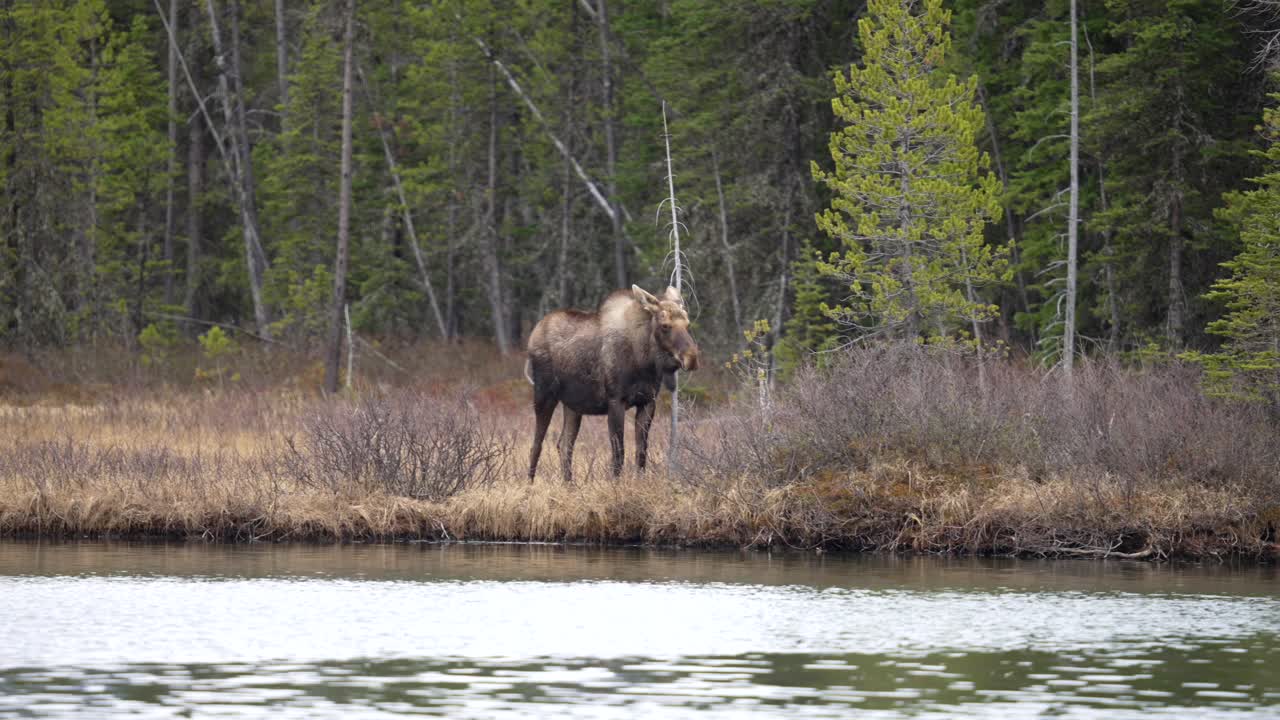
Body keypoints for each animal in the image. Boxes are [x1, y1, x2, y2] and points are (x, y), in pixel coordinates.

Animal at [524, 284, 700, 483]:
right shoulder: (616, 401)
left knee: (564, 445)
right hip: (544, 394)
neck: (644, 360)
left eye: (687, 324)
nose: (692, 358)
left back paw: (569, 485)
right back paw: (530, 485)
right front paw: (616, 485)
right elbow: (618, 453)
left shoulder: (647, 402)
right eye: (665, 326)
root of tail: (533, 335)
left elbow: (641, 453)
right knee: (536, 444)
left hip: (573, 406)